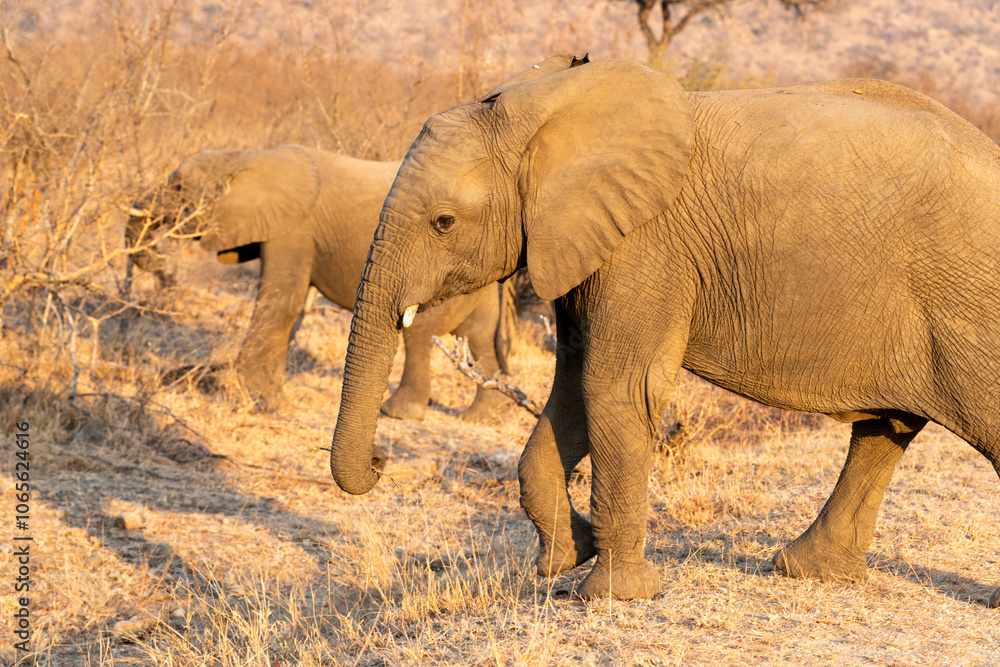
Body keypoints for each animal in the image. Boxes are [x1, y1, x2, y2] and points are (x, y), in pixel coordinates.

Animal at [126, 145, 516, 420]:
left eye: (178, 188)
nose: (159, 264)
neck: (245, 156)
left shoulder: (293, 228)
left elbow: (281, 302)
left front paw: (257, 398)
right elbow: (293, 310)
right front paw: (272, 396)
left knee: (419, 336)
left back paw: (398, 413)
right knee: (479, 338)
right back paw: (481, 416)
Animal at [326, 53, 1000, 606]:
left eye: (443, 223)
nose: (382, 459)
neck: (545, 106)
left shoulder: (645, 246)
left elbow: (615, 388)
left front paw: (616, 593)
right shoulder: (586, 242)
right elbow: (573, 389)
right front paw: (566, 555)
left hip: (968, 298)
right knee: (886, 429)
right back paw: (804, 571)